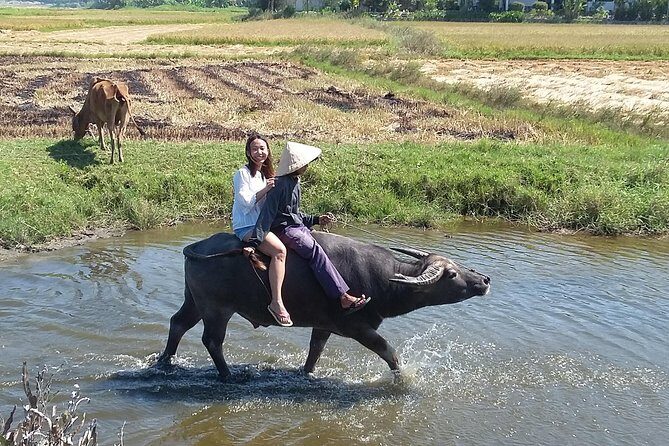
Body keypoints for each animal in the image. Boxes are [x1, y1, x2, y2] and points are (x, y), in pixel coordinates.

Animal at [157, 231, 491, 380]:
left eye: (457, 266)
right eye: (450, 274)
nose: (485, 279)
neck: (381, 280)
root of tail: (195, 247)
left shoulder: (323, 325)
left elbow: (314, 351)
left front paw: (306, 373)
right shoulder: (357, 327)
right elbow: (389, 352)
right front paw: (404, 378)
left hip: (194, 301)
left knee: (178, 323)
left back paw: (165, 362)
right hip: (217, 309)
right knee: (211, 340)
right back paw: (227, 375)